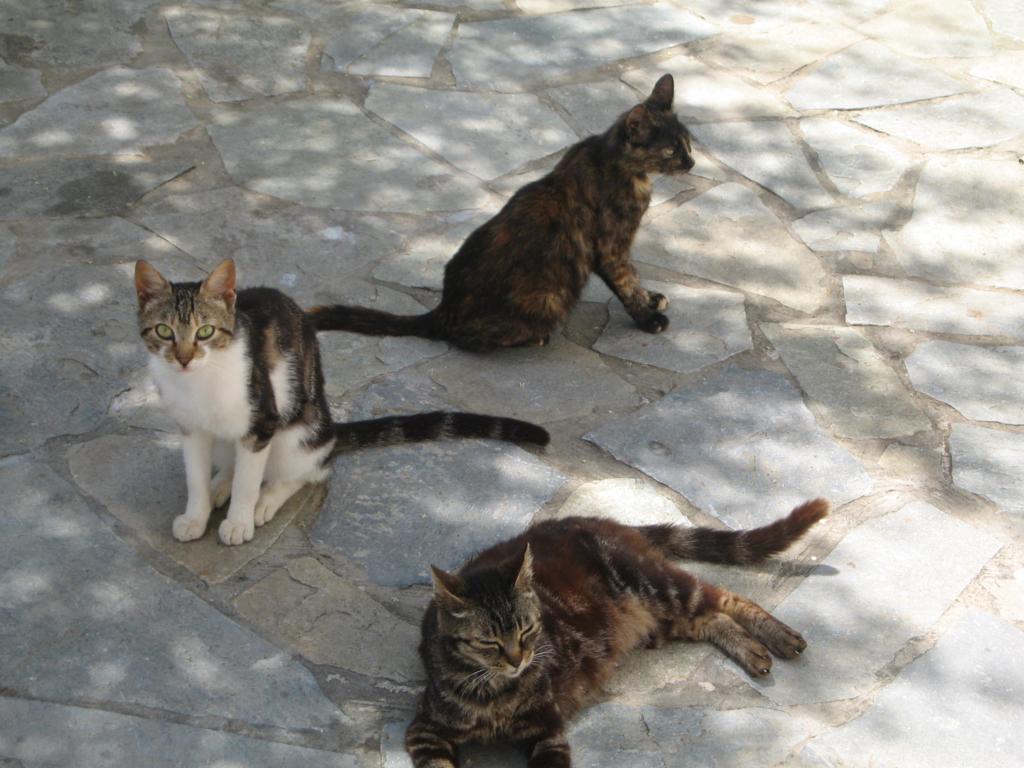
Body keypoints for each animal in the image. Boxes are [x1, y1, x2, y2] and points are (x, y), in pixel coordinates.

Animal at [134, 259, 549, 546]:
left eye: (204, 331)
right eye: (164, 331)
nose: (184, 359)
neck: (199, 383)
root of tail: (331, 428)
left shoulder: (263, 420)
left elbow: (251, 479)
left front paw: (239, 520)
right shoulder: (191, 428)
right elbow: (195, 476)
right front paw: (196, 514)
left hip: (299, 430)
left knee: (311, 469)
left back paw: (266, 499)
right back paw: (221, 483)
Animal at [309, 74, 694, 351]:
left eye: (688, 143)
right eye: (670, 150)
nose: (691, 163)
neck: (623, 167)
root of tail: (443, 310)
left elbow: (635, 277)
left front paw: (652, 298)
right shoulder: (611, 248)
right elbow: (626, 282)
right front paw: (647, 318)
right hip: (550, 298)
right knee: (466, 340)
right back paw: (535, 337)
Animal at [407, 499, 829, 767]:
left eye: (528, 630)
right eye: (489, 642)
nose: (518, 660)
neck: (497, 693)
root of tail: (602, 521)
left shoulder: (547, 729)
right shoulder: (426, 730)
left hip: (660, 587)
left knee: (725, 596)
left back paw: (779, 638)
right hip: (663, 619)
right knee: (711, 618)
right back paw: (753, 651)